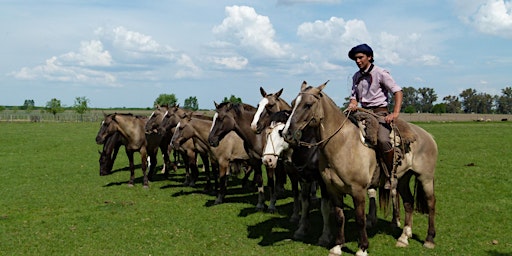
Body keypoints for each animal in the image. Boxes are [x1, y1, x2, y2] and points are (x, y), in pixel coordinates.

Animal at [282, 81, 438, 256]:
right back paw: (404, 237)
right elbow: (339, 217)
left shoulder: (358, 190)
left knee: (431, 203)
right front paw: (337, 246)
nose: (286, 133)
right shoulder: (333, 189)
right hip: (403, 178)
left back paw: (429, 239)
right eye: (293, 103)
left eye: (308, 105)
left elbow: (360, 219)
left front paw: (362, 248)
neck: (342, 144)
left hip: (425, 177)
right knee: (409, 202)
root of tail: (428, 136)